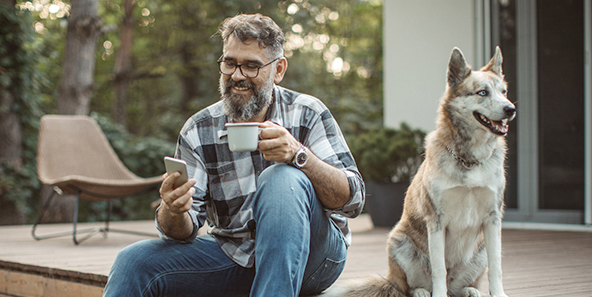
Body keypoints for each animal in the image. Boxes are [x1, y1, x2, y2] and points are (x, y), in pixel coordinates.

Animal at [326, 46, 516, 296]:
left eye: (503, 92)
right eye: (482, 92)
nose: (510, 109)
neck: (469, 159)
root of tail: (390, 279)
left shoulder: (493, 218)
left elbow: (497, 267)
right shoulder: (436, 220)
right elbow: (439, 269)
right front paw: (437, 294)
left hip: (481, 248)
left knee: (464, 283)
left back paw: (469, 290)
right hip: (399, 241)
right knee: (408, 286)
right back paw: (422, 291)